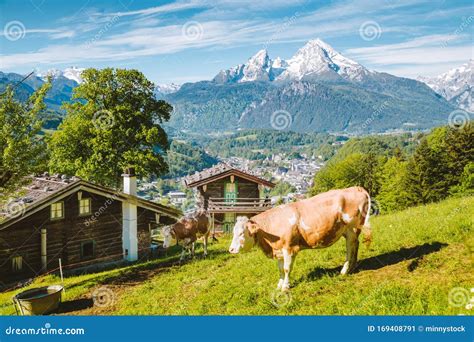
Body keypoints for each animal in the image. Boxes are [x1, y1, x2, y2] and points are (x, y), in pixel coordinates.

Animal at [228, 187, 372, 292]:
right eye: (233, 233)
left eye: (241, 233)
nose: (231, 249)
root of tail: (356, 188)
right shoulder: (279, 250)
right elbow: (280, 269)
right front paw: (279, 285)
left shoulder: (290, 248)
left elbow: (287, 268)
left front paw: (285, 287)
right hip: (348, 231)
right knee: (356, 244)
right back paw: (353, 267)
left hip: (352, 228)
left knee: (350, 247)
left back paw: (344, 270)